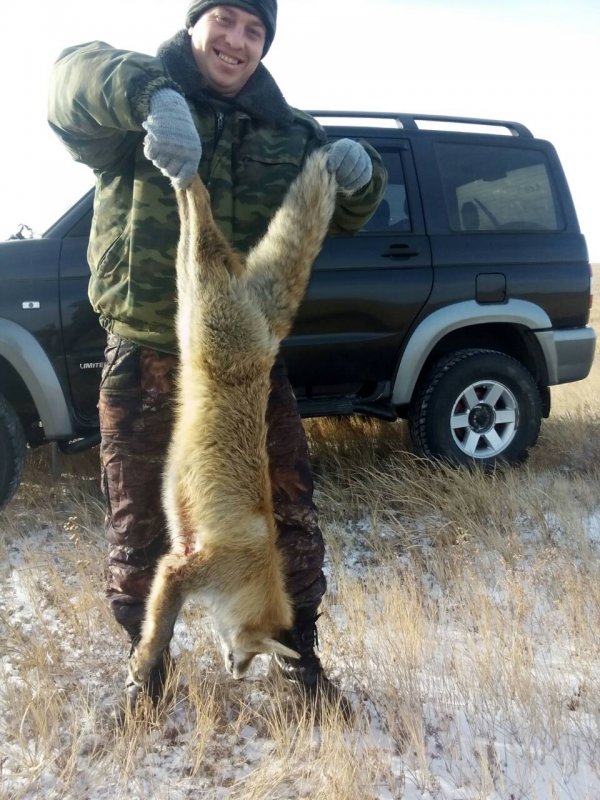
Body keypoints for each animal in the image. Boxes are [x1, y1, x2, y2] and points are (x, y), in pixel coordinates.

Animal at [127, 147, 341, 699]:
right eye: (255, 652)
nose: (237, 673)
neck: (253, 567)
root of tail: (269, 333)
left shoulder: (180, 554)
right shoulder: (181, 569)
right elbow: (160, 628)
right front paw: (143, 663)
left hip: (189, 291)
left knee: (196, 224)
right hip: (199, 285)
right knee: (199, 207)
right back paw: (183, 156)